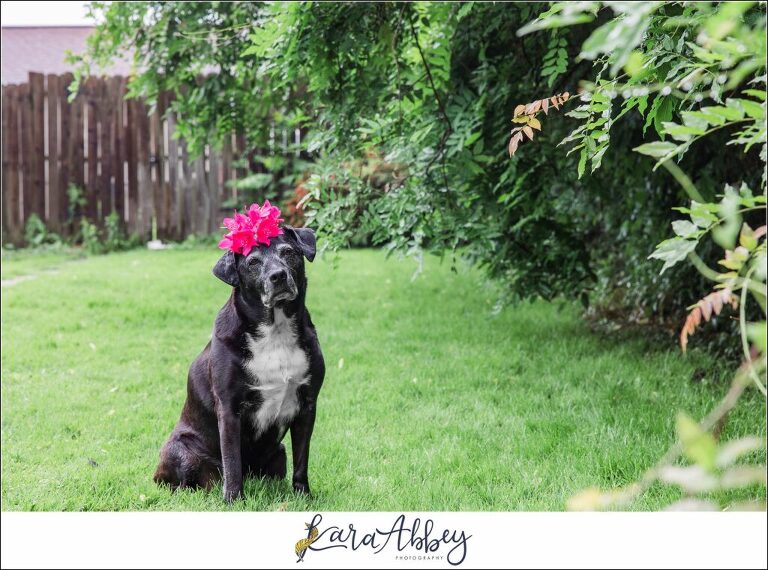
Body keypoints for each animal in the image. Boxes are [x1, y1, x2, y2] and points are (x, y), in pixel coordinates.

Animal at [154, 224, 326, 500]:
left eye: (288, 252)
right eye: (253, 262)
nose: (278, 276)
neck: (275, 331)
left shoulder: (307, 405)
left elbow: (302, 458)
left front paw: (303, 496)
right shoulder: (229, 409)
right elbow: (232, 460)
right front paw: (233, 500)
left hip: (279, 454)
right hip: (181, 451)